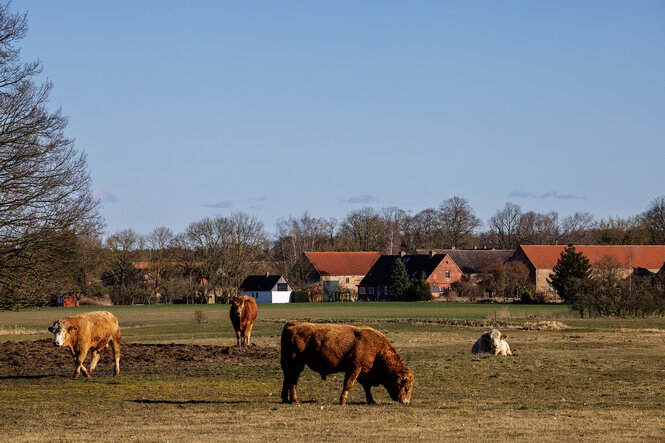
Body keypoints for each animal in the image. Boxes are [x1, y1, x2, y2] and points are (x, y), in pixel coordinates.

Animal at [278, 322, 412, 406]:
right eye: (405, 387)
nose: (406, 402)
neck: (377, 349)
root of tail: (294, 324)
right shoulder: (354, 368)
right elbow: (348, 384)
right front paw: (342, 401)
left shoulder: (364, 372)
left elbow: (366, 387)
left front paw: (371, 400)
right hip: (296, 364)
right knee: (292, 380)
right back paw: (294, 400)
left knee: (287, 378)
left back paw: (285, 398)